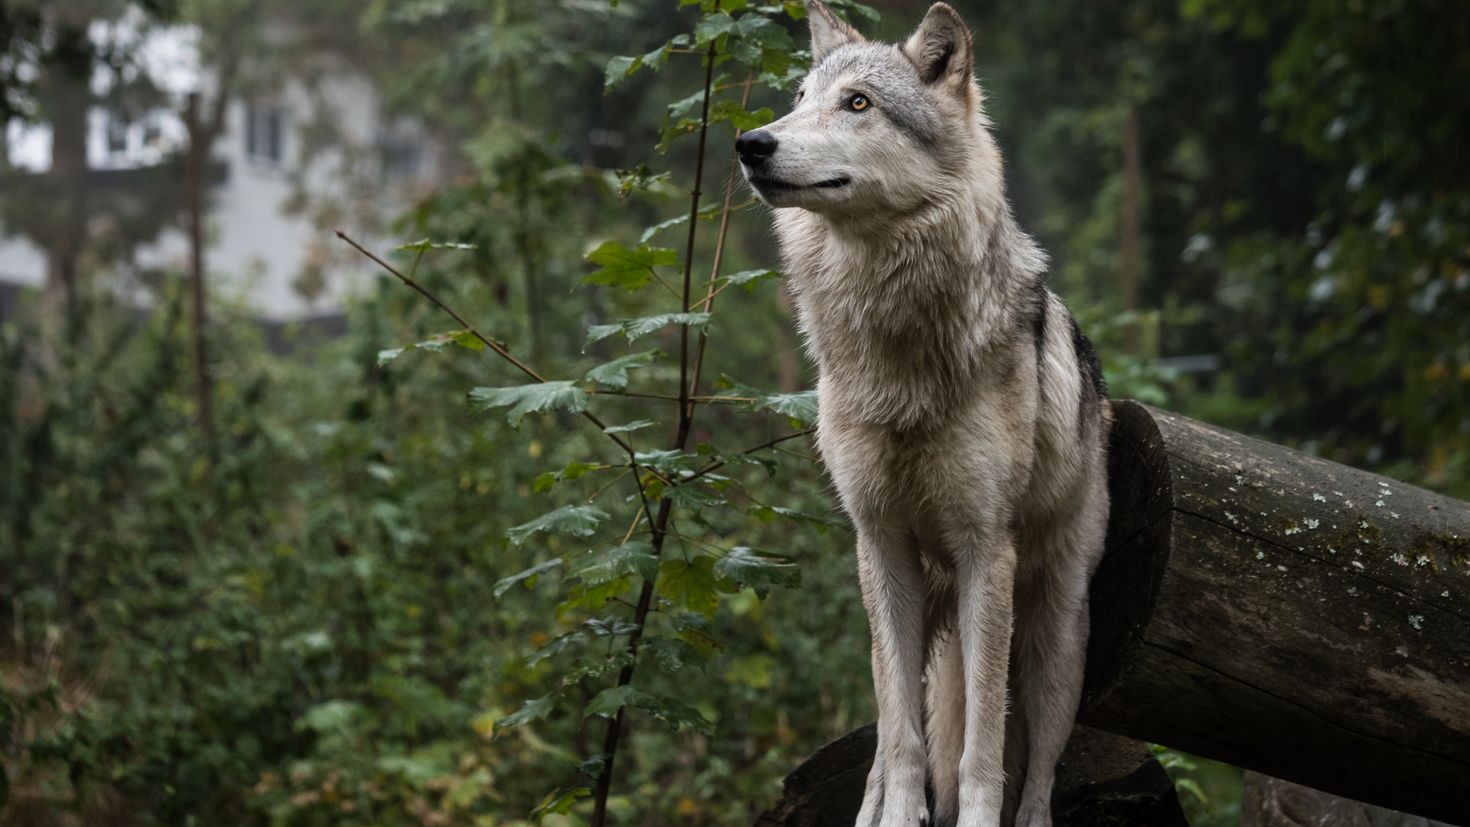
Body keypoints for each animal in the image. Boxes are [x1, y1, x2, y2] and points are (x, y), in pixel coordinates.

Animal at [740, 1, 1105, 827]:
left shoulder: (984, 550)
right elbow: (905, 736)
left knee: (1040, 767)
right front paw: (899, 814)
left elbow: (980, 749)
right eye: (801, 98)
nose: (751, 143)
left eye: (858, 104)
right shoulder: (879, 543)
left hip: (1054, 638)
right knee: (886, 733)